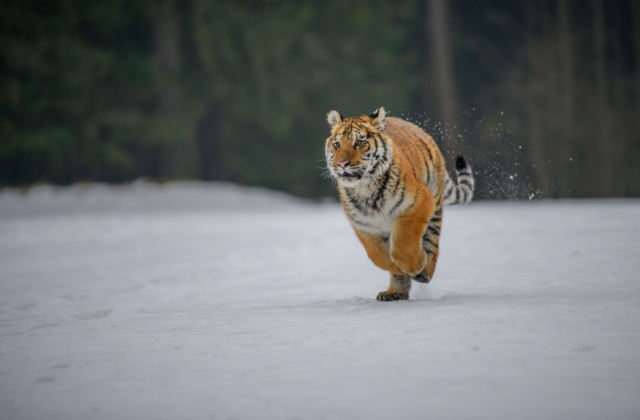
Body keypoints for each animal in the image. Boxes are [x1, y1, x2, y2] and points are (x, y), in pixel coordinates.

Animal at [324, 106, 476, 300]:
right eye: (337, 144)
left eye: (358, 142)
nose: (342, 163)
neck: (366, 188)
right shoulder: (365, 226)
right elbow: (378, 256)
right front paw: (398, 268)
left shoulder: (418, 201)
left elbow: (404, 239)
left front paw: (413, 265)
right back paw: (394, 292)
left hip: (434, 209)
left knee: (432, 244)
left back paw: (424, 272)